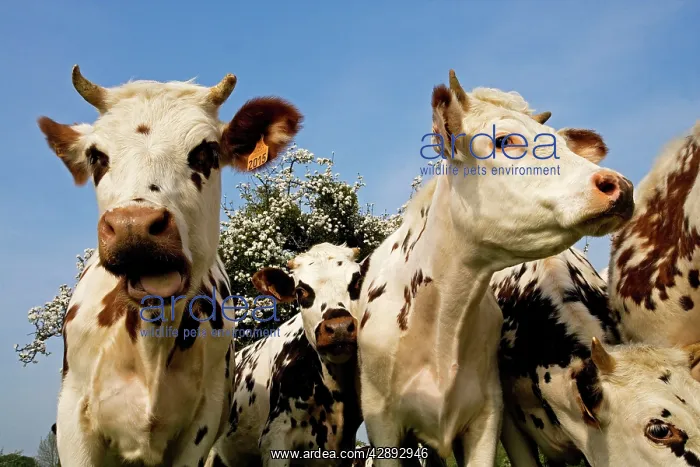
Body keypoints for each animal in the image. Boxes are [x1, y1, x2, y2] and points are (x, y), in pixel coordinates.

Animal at [38, 65, 302, 466]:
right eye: (96, 156)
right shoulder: (72, 420)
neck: (150, 342)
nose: (134, 226)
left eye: (207, 151)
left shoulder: (202, 425)